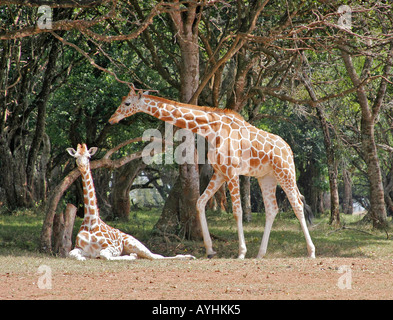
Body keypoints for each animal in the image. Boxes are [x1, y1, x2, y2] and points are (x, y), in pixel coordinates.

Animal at [66, 144, 196, 262]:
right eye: (76, 157)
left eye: (88, 157)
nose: (82, 166)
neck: (91, 220)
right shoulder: (79, 248)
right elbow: (71, 254)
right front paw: (82, 258)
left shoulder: (113, 247)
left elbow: (104, 256)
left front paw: (131, 256)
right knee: (152, 257)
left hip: (132, 243)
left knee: (156, 256)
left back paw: (189, 256)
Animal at [108, 87, 316, 260]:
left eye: (127, 103)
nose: (112, 119)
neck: (211, 129)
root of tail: (289, 149)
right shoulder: (220, 172)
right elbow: (200, 203)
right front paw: (209, 249)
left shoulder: (232, 171)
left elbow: (237, 211)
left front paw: (241, 252)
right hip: (266, 177)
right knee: (272, 209)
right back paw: (260, 254)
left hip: (285, 172)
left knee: (297, 205)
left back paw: (311, 252)